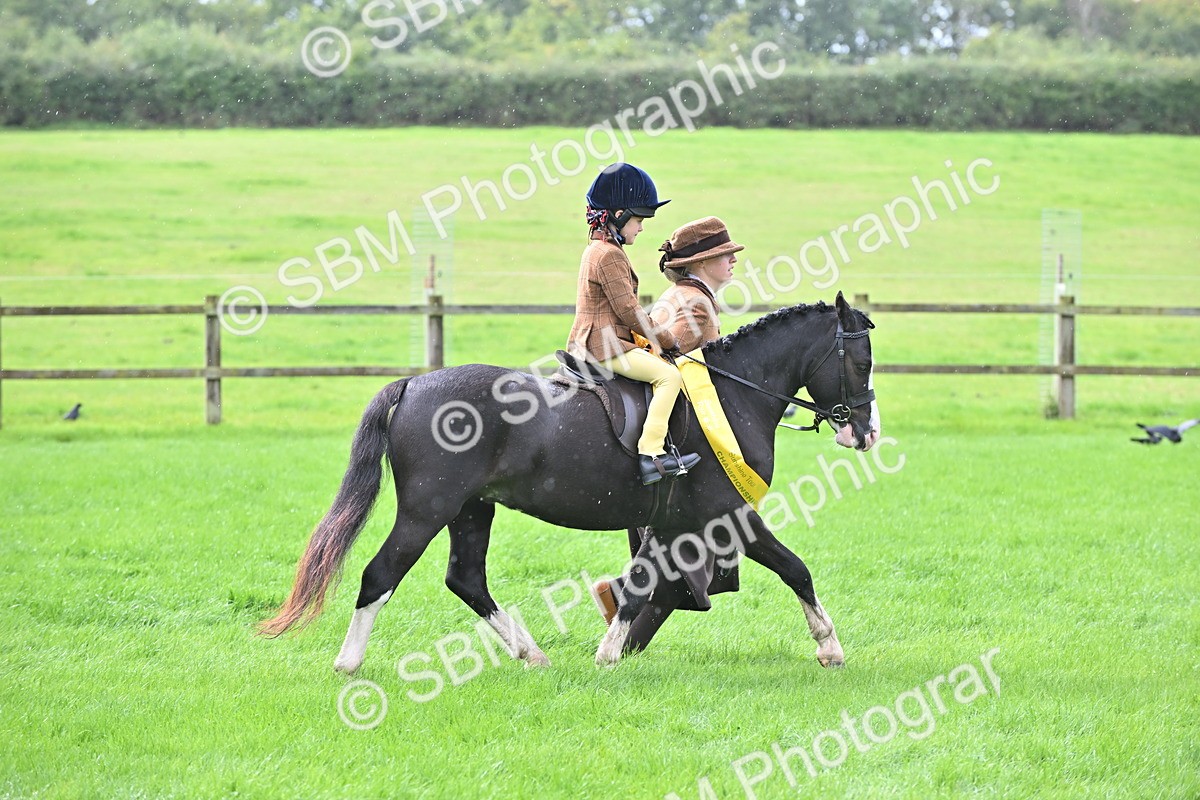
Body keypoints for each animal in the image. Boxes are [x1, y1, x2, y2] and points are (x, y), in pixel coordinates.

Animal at [259, 291, 880, 671]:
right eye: (861, 362)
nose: (866, 432)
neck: (733, 394)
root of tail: (414, 384)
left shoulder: (674, 523)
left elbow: (643, 583)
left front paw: (610, 649)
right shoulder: (725, 515)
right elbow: (794, 567)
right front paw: (830, 648)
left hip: (471, 510)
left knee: (466, 579)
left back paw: (531, 655)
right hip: (426, 510)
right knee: (380, 574)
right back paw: (348, 664)